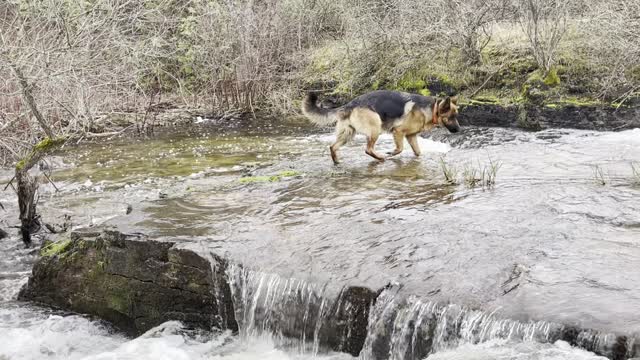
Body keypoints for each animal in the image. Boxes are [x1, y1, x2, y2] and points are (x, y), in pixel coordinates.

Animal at [302, 89, 460, 164]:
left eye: (456, 115)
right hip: (375, 129)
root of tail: (349, 104)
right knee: (368, 149)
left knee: (333, 147)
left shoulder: (411, 136)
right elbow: (399, 149)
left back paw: (337, 162)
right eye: (451, 117)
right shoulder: (398, 132)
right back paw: (381, 158)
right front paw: (391, 153)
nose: (459, 130)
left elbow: (418, 152)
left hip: (348, 134)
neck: (432, 109)